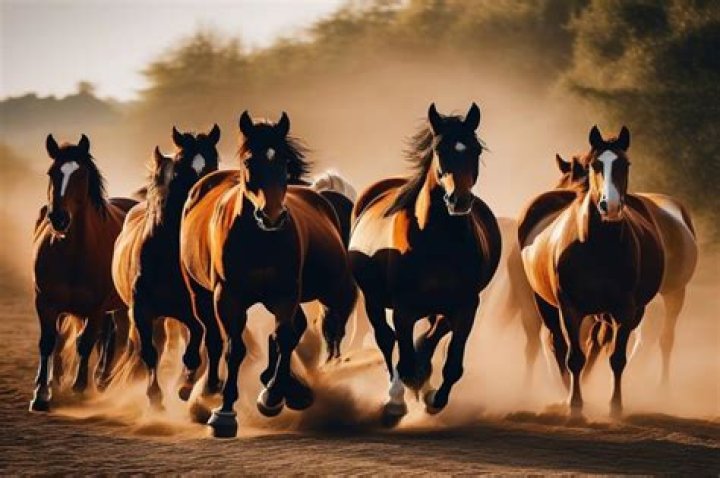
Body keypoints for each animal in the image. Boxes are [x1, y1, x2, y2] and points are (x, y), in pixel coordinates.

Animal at [31, 134, 137, 411]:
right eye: (52, 172)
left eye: (82, 175)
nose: (58, 218)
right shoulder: (46, 302)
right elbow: (48, 341)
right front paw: (42, 393)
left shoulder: (96, 308)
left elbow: (85, 343)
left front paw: (79, 389)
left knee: (116, 338)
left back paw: (102, 380)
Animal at [111, 125, 220, 408]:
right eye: (181, 168)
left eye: (213, 164)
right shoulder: (142, 311)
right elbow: (150, 352)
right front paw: (155, 398)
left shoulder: (193, 313)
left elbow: (194, 350)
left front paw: (184, 387)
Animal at [180, 111, 357, 437]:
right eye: (250, 160)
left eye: (284, 161)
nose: (272, 216)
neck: (259, 239)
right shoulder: (228, 297)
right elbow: (234, 349)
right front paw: (224, 413)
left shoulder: (285, 293)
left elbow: (285, 336)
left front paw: (274, 395)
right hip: (200, 296)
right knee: (213, 337)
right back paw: (211, 389)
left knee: (304, 327)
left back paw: (290, 388)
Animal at [348, 103, 501, 423]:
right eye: (439, 149)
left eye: (475, 150)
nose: (459, 200)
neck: (437, 240)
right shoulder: (403, 309)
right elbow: (403, 359)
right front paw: (399, 398)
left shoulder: (466, 306)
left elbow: (452, 363)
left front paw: (432, 396)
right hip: (373, 300)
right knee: (387, 340)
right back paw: (397, 396)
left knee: (431, 333)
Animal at [518, 125, 665, 417]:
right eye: (596, 165)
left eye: (625, 164)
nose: (611, 206)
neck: (598, 247)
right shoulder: (569, 307)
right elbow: (574, 356)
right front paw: (575, 405)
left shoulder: (625, 310)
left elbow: (617, 358)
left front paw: (615, 406)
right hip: (544, 303)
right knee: (558, 343)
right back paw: (565, 390)